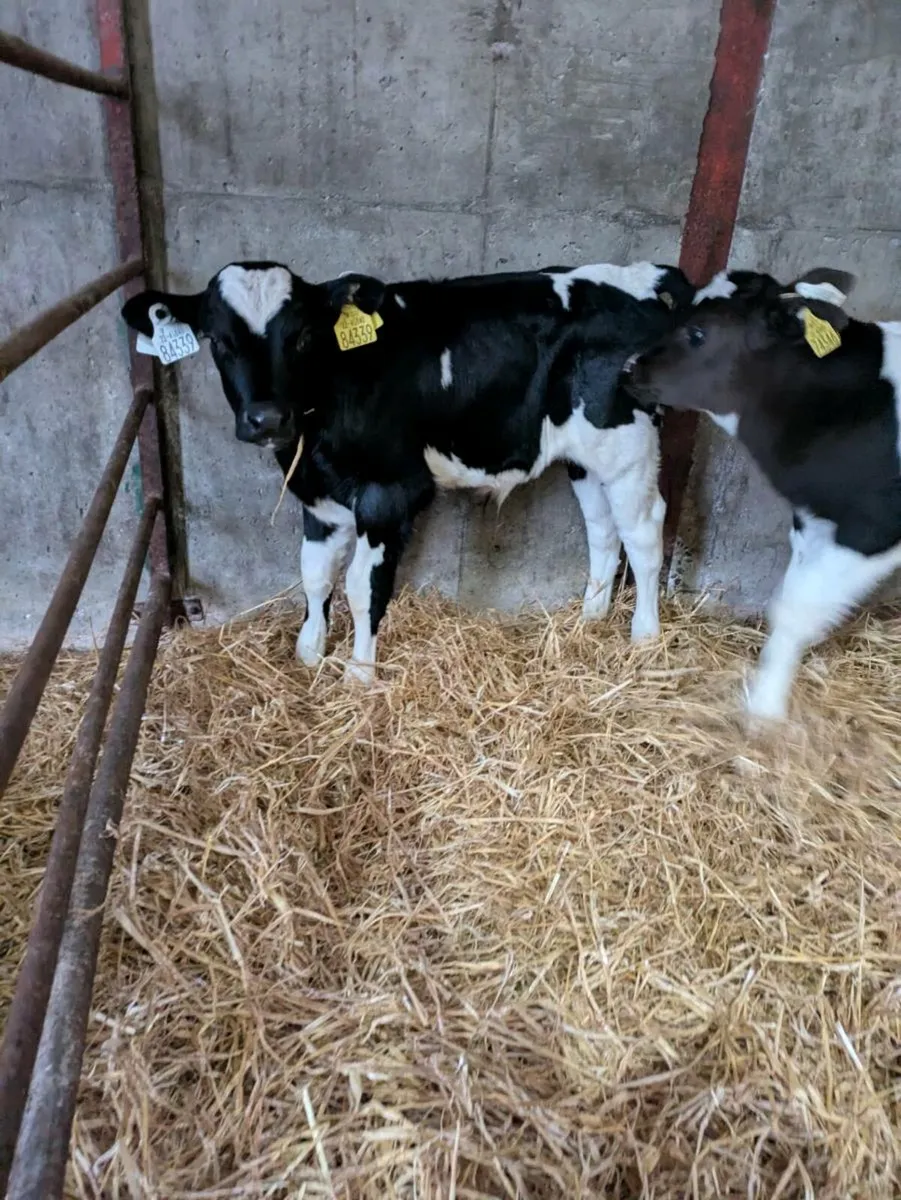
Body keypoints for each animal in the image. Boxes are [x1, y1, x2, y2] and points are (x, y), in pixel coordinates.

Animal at [122, 259, 696, 683]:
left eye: (302, 337)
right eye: (218, 340)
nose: (267, 418)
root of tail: (640, 277)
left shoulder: (389, 491)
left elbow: (361, 586)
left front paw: (359, 674)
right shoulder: (320, 497)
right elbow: (314, 573)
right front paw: (308, 654)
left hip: (628, 445)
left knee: (644, 532)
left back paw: (644, 637)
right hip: (586, 457)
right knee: (603, 530)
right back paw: (589, 619)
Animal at [622, 265, 901, 721]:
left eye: (698, 333)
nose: (629, 368)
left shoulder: (871, 528)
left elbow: (797, 611)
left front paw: (764, 710)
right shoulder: (812, 518)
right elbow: (788, 598)